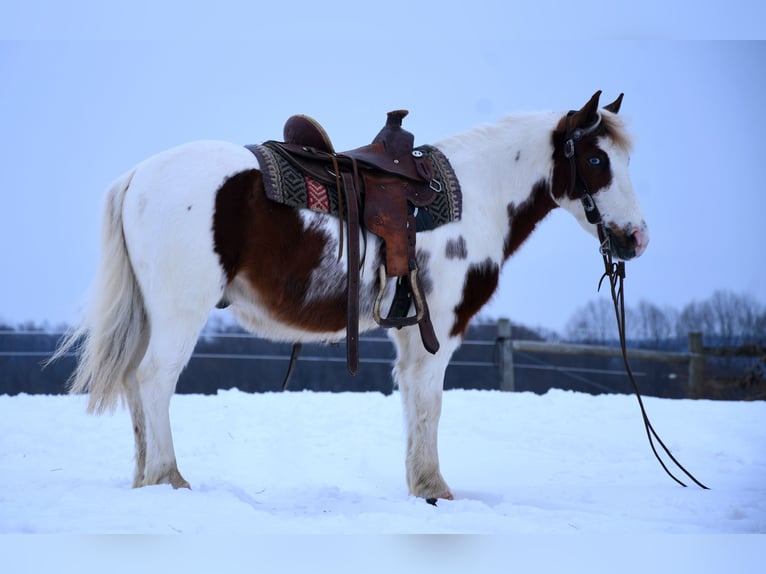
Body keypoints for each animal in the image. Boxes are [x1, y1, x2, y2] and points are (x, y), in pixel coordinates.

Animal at [57, 90, 652, 504]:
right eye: (596, 161)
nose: (636, 238)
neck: (475, 197)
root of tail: (139, 176)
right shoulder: (439, 330)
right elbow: (430, 403)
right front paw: (436, 489)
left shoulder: (412, 332)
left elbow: (414, 403)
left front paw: (420, 487)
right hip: (180, 313)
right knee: (155, 380)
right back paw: (169, 478)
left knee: (135, 385)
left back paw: (146, 480)